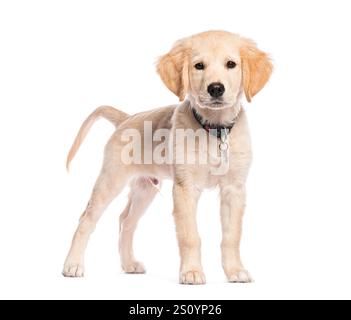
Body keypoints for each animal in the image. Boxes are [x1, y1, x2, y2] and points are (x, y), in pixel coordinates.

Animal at [62, 30, 272, 284]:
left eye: (231, 64)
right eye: (199, 66)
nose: (215, 89)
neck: (214, 129)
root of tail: (126, 118)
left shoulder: (235, 188)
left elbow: (232, 236)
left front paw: (235, 270)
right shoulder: (185, 188)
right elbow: (190, 236)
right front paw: (191, 272)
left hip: (145, 188)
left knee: (126, 221)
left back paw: (129, 263)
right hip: (110, 180)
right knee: (86, 220)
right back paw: (72, 264)